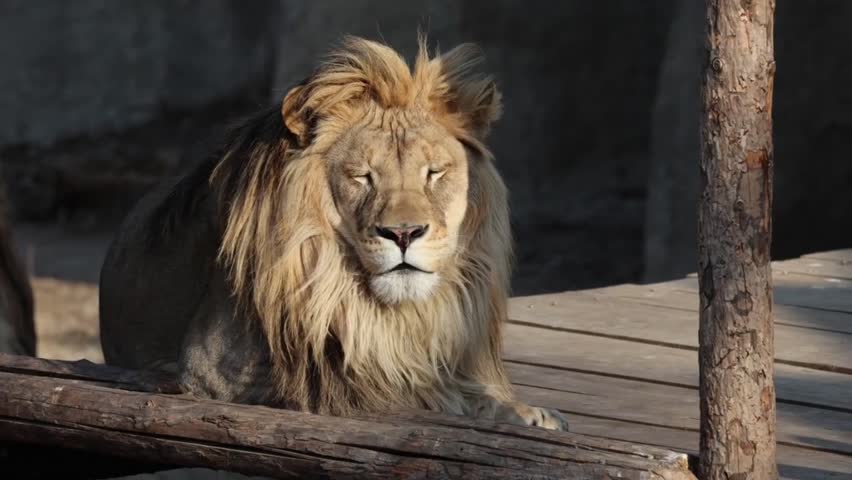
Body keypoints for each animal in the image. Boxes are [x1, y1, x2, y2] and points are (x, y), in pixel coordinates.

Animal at [99, 36, 567, 430]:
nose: (404, 233)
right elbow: (403, 388)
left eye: (434, 173)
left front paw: (527, 411)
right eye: (362, 176)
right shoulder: (212, 372)